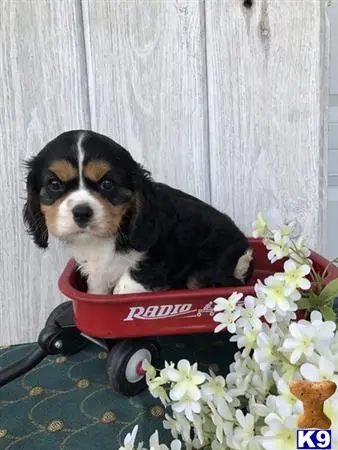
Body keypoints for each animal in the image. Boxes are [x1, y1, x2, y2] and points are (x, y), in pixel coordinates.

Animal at [23, 129, 254, 296]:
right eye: (54, 184)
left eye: (108, 184)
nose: (81, 212)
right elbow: (97, 287)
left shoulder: (160, 250)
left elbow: (126, 285)